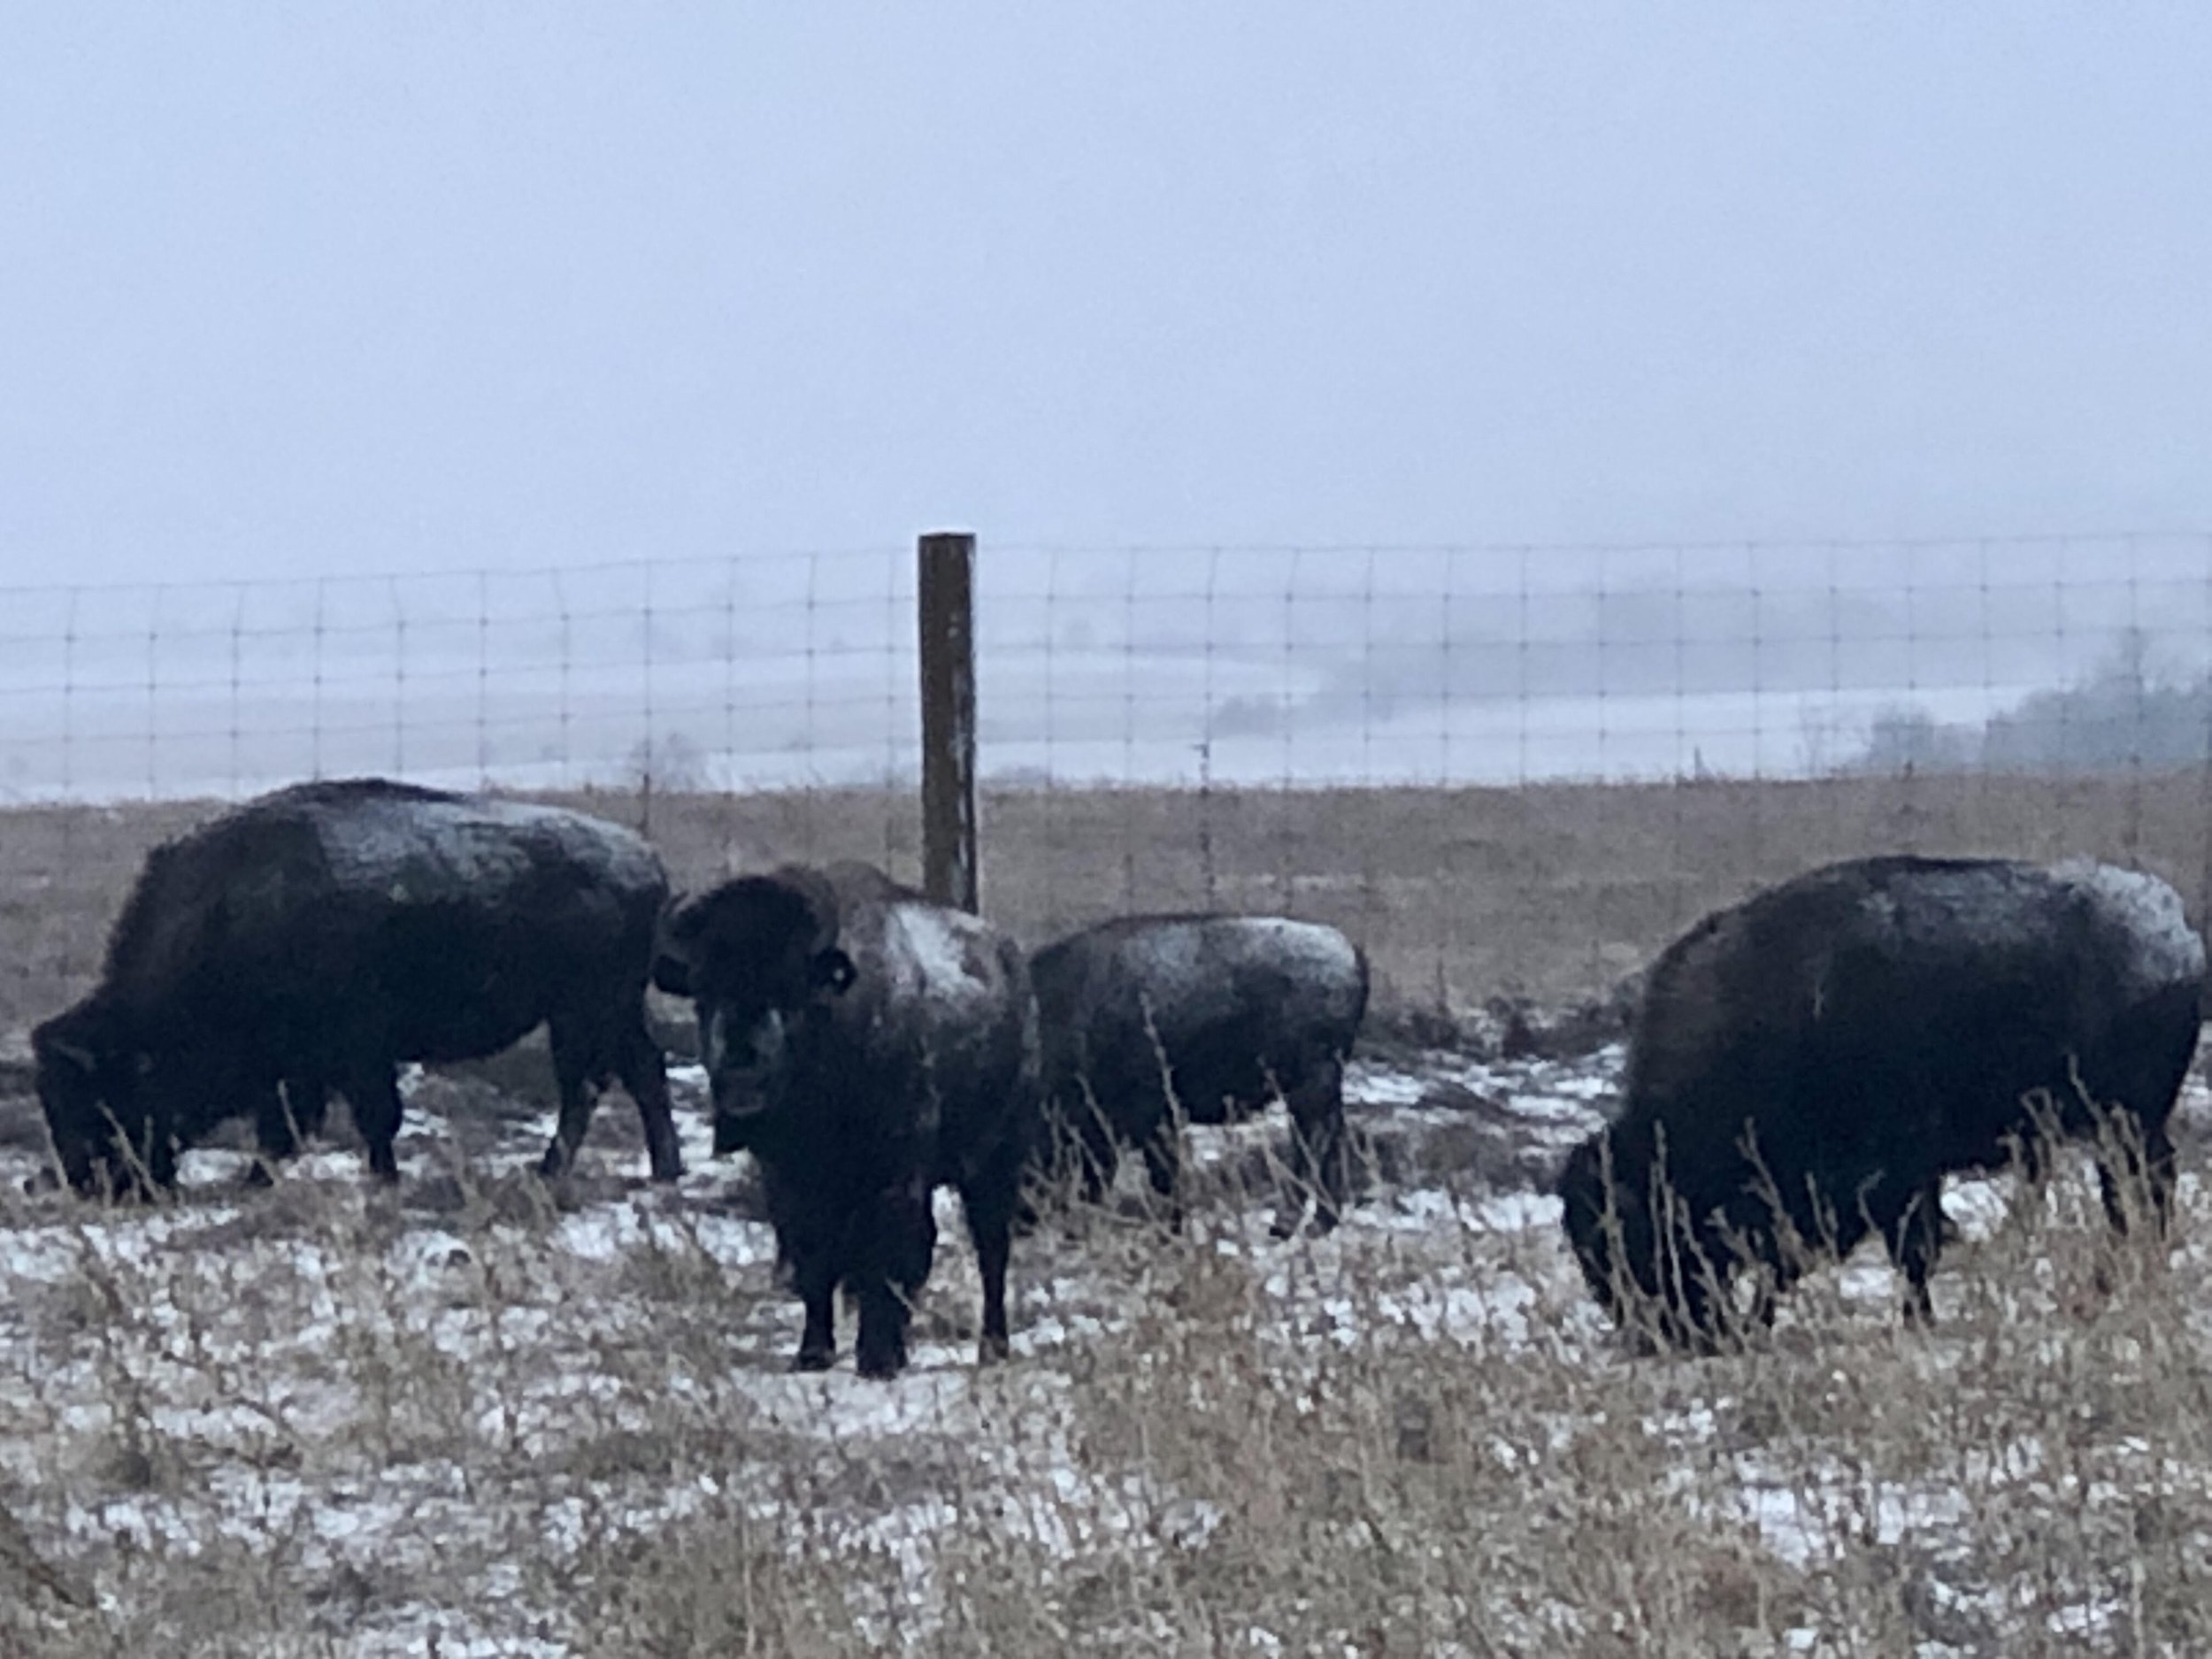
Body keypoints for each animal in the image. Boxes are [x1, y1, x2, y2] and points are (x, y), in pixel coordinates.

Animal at [32, 778, 682, 1194]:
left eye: (100, 1100)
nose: (88, 1184)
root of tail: (647, 859)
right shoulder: (296, 1066)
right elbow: (287, 1124)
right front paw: (259, 1178)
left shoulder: (355, 1052)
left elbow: (370, 1116)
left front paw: (381, 1178)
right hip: (604, 1011)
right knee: (636, 1074)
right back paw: (658, 1169)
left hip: (587, 1009)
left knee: (590, 1084)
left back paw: (557, 1169)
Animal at [655, 861, 1038, 1379]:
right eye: (702, 990)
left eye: (790, 986)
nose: (742, 1074)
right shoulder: (791, 1180)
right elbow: (815, 1260)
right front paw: (812, 1353)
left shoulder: (891, 1172)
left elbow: (883, 1257)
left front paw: (876, 1358)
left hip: (994, 1166)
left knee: (990, 1251)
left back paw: (992, 1347)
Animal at [1557, 855, 2205, 1349]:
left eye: (1629, 1232)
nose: (1656, 1336)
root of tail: (2177, 928)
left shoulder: (1895, 1177)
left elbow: (1906, 1252)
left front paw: (1915, 1321)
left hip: (2125, 1125)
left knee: (2139, 1199)